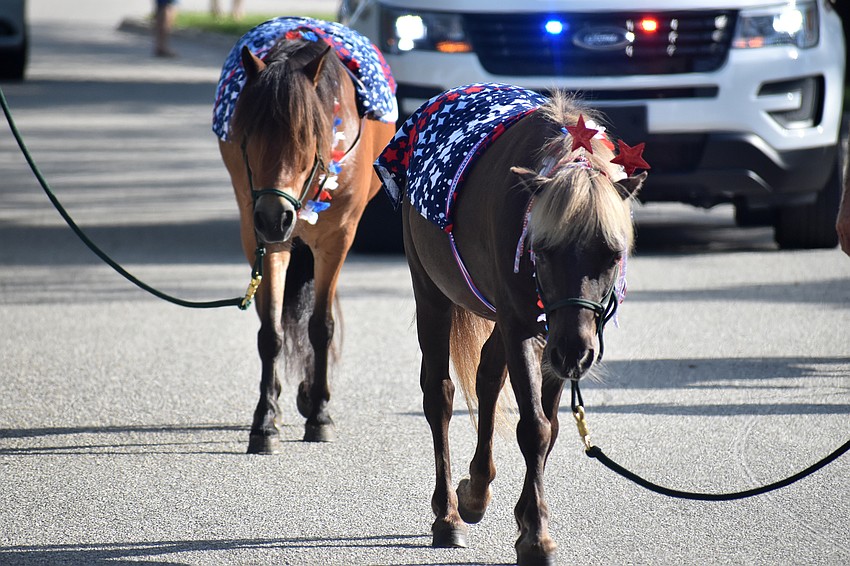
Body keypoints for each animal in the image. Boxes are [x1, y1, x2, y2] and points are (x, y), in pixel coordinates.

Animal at [214, 18, 397, 453]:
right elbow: (271, 331)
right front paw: (265, 421)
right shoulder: (262, 239)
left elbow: (321, 326)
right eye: (247, 137)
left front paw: (320, 414)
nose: (274, 216)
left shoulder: (337, 240)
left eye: (307, 138)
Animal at [374, 83, 648, 566]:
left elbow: (548, 426)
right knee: (439, 394)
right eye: (544, 249)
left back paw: (475, 492)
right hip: (431, 292)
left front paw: (524, 520)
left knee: (486, 379)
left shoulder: (549, 336)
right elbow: (534, 428)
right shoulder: (521, 326)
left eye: (613, 253)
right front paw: (536, 537)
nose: (574, 351)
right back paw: (448, 516)